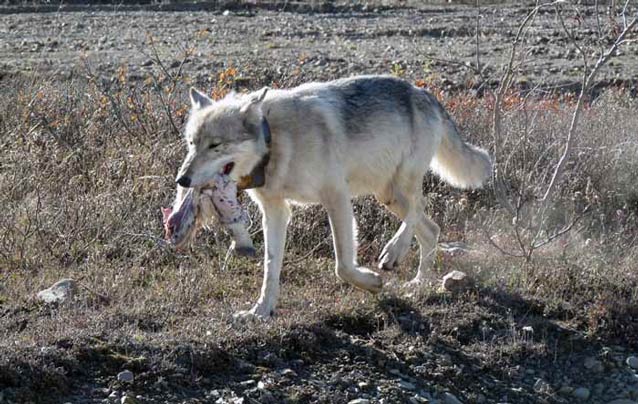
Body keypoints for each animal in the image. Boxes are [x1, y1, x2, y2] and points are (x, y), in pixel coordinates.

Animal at [176, 76, 496, 320]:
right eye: (192, 143)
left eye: (215, 145)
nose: (182, 180)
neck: (275, 141)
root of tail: (424, 93)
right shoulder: (276, 211)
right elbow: (270, 269)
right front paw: (260, 311)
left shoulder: (336, 197)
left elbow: (342, 266)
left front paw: (371, 283)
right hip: (388, 195)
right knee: (431, 229)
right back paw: (418, 283)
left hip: (400, 185)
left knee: (421, 208)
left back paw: (393, 253)